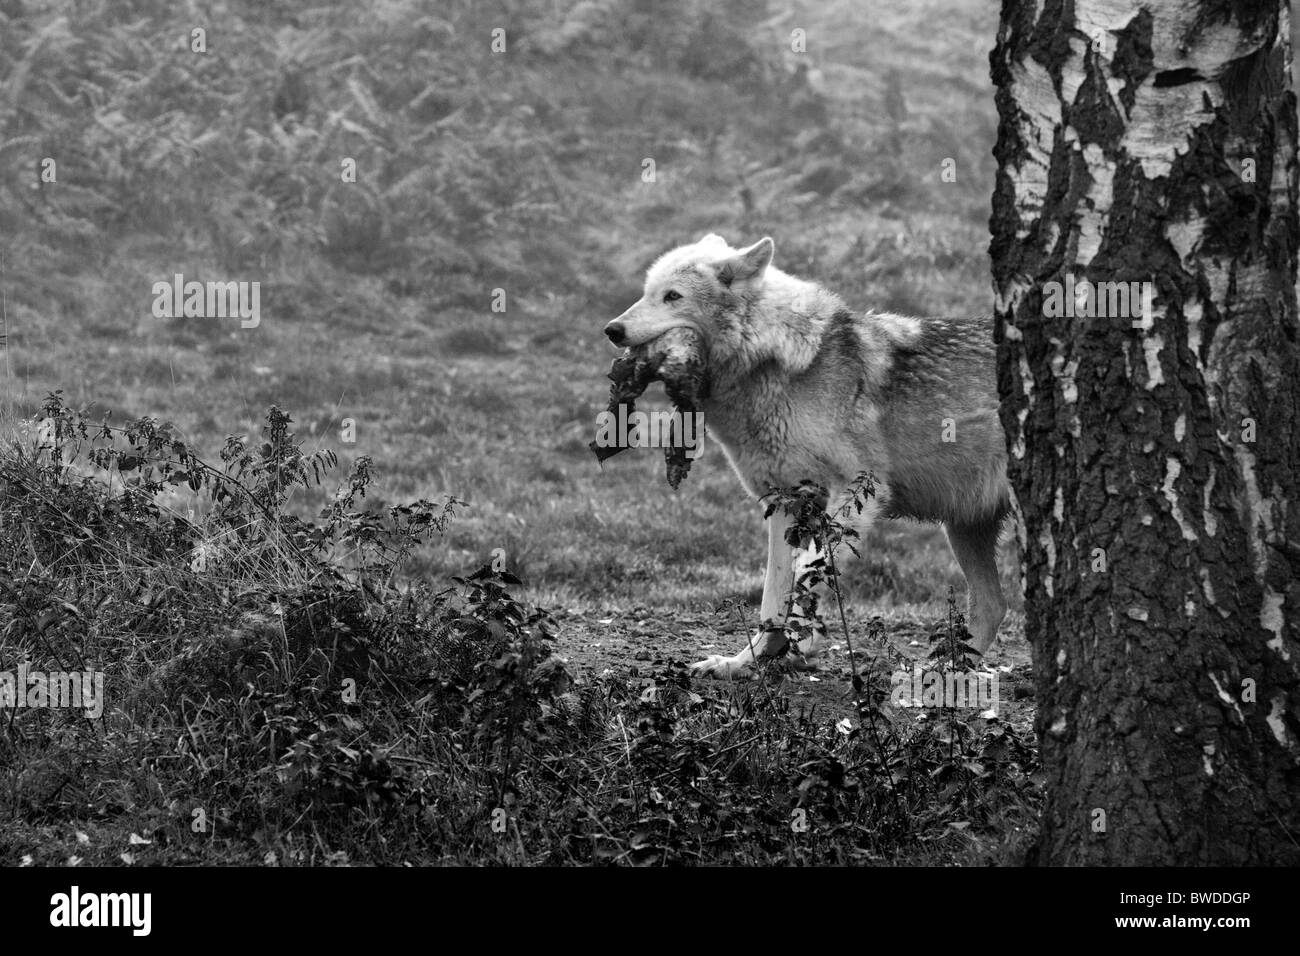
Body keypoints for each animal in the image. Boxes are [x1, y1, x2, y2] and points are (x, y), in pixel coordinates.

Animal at [604, 234, 1010, 679]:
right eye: (646, 293)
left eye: (672, 296)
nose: (612, 329)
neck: (780, 365)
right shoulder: (785, 504)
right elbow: (772, 598)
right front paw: (747, 662)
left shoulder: (855, 492)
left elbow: (804, 578)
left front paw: (802, 647)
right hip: (964, 530)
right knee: (994, 606)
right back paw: (941, 675)